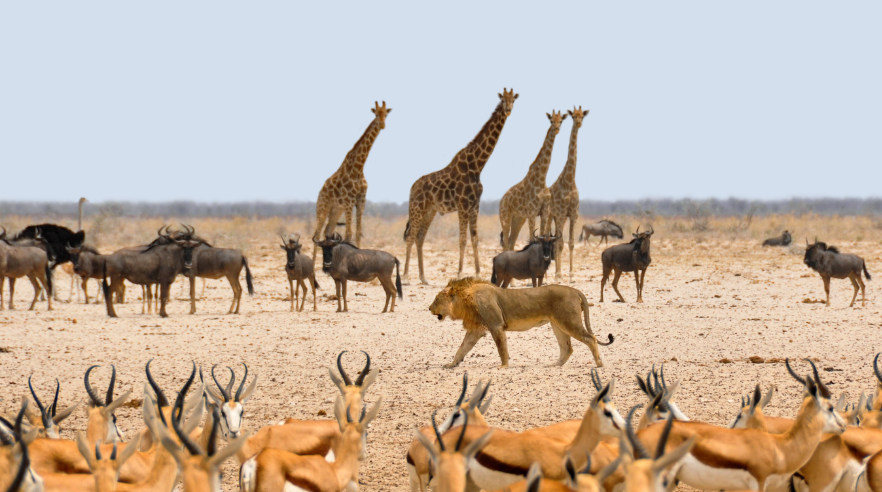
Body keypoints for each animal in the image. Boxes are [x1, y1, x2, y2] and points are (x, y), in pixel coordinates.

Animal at [312, 101, 391, 248]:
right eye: (376, 114)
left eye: (386, 114)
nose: (383, 125)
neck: (359, 168)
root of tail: (320, 192)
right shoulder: (349, 201)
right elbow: (349, 234)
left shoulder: (361, 200)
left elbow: (358, 233)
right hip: (323, 208)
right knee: (317, 235)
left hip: (336, 210)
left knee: (327, 232)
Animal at [403, 88, 518, 284]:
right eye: (503, 100)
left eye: (513, 100)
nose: (509, 110)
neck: (477, 166)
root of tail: (412, 188)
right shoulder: (463, 205)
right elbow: (463, 239)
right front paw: (459, 273)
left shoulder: (474, 206)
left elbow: (475, 238)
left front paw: (478, 273)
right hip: (417, 208)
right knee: (411, 236)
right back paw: (405, 277)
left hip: (430, 211)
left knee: (419, 238)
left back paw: (423, 278)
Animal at [498, 110, 566, 251]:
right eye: (551, 120)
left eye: (561, 120)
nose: (557, 129)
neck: (542, 179)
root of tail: (501, 201)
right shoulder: (532, 212)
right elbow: (532, 237)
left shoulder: (544, 211)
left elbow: (542, 235)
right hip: (505, 216)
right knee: (506, 243)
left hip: (518, 218)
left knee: (511, 242)